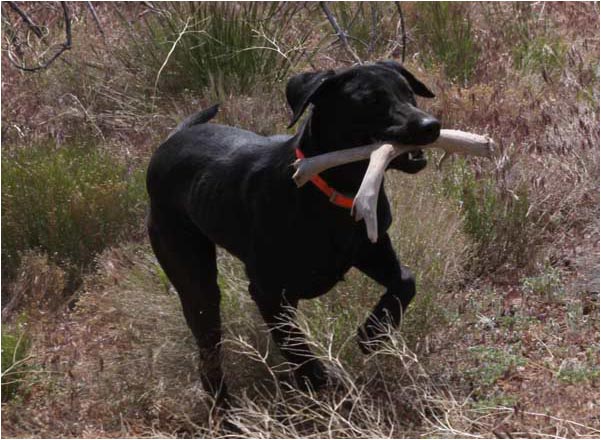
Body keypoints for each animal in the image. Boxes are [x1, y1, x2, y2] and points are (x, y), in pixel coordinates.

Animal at [144, 60, 436, 400]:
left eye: (408, 92)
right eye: (370, 100)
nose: (431, 125)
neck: (331, 190)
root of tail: (168, 143)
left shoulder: (370, 249)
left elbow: (405, 281)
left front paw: (372, 333)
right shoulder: (268, 293)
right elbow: (298, 350)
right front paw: (321, 383)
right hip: (194, 279)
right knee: (208, 348)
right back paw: (224, 406)